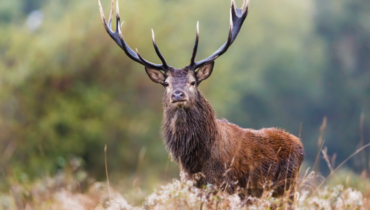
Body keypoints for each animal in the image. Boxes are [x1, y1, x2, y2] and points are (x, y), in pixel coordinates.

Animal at [98, 0, 304, 199]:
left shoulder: (225, 184)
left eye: (193, 82)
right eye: (166, 83)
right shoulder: (192, 184)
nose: (178, 95)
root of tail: (299, 145)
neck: (196, 160)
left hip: (286, 188)